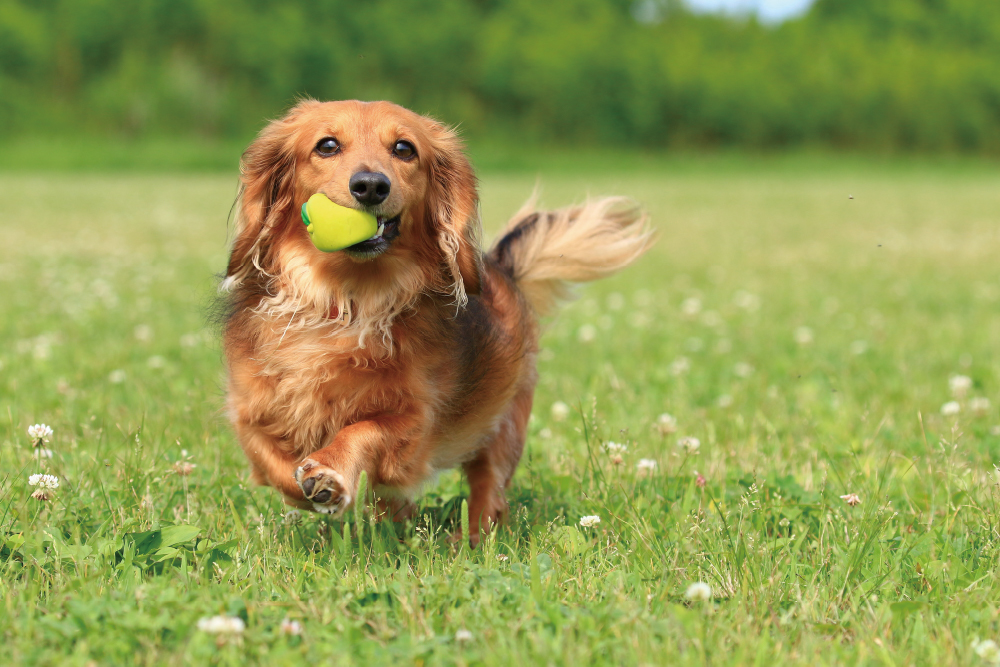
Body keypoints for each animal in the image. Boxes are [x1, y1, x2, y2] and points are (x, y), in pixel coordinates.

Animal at [223, 99, 652, 544]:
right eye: (326, 145)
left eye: (404, 149)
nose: (371, 186)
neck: (347, 303)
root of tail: (502, 268)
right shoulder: (248, 412)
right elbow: (270, 462)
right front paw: (310, 487)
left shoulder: (415, 425)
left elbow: (362, 430)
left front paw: (329, 473)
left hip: (502, 428)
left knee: (487, 489)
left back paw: (471, 539)